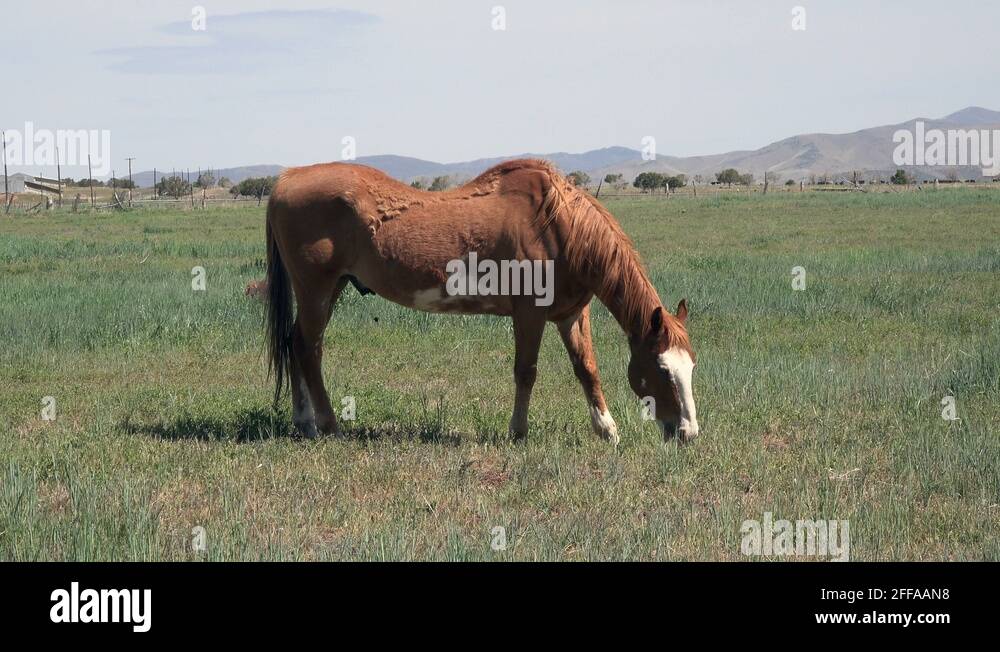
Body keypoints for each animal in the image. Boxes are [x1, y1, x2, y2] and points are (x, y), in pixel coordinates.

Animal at [264, 159, 698, 444]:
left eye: (690, 367)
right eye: (662, 370)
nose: (689, 433)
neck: (559, 226)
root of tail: (286, 179)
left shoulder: (571, 314)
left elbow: (586, 368)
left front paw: (606, 429)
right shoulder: (529, 314)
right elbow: (526, 372)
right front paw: (518, 431)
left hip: (331, 288)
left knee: (295, 343)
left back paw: (304, 421)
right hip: (317, 290)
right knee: (308, 348)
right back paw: (328, 425)